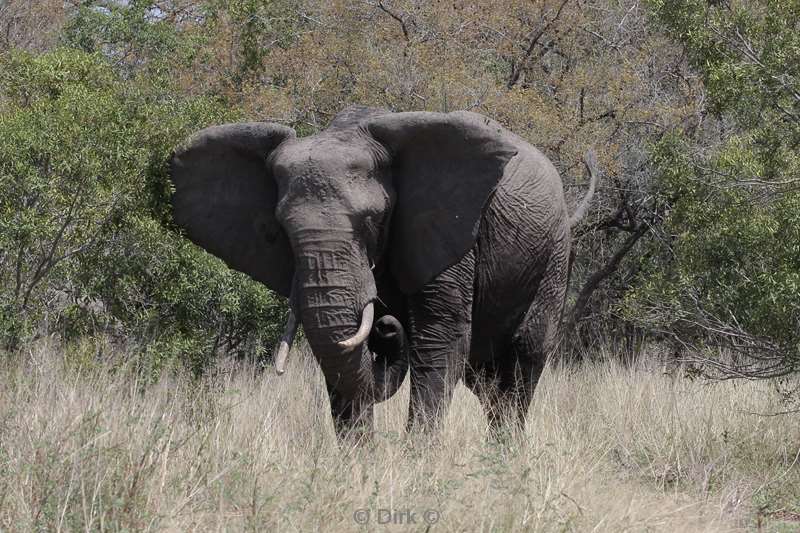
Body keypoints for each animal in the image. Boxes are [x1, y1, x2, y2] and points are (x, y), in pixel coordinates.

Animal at [169, 105, 592, 436]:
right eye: (280, 229)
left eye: (373, 220)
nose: (389, 328)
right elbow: (338, 352)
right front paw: (357, 466)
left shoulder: (445, 231)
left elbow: (440, 338)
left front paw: (415, 464)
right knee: (485, 381)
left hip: (554, 255)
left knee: (523, 362)